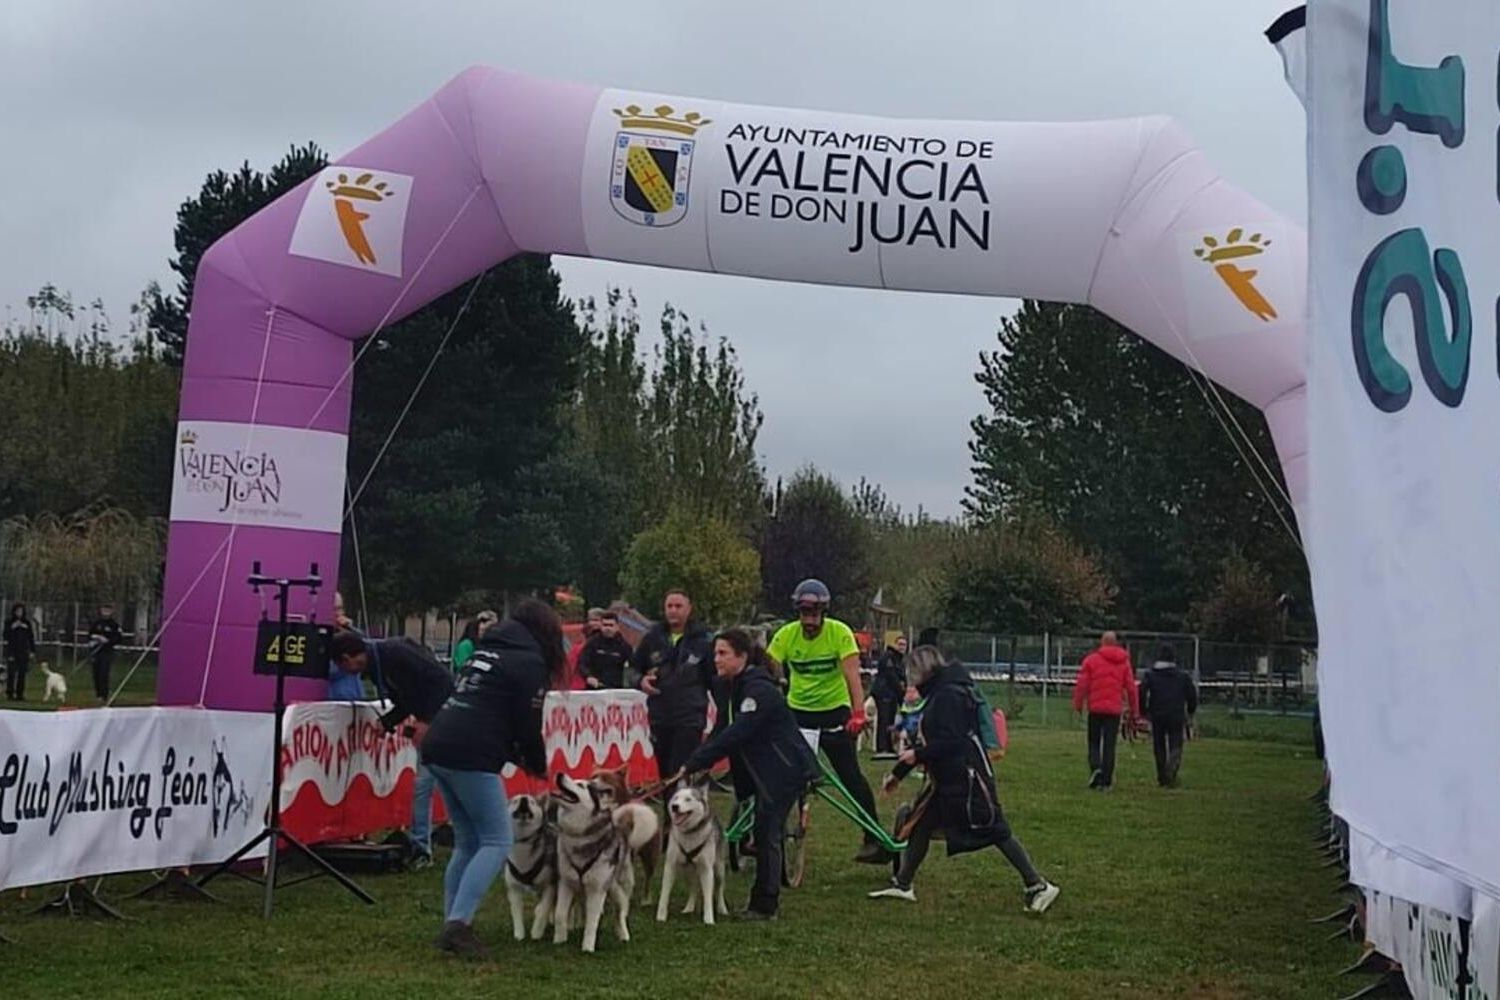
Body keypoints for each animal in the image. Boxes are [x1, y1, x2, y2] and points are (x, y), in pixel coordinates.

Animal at [504, 791, 558, 941]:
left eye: (532, 802)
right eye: (515, 800)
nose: (524, 799)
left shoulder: (549, 885)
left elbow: (544, 909)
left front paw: (537, 931)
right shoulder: (513, 888)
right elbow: (516, 911)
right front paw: (519, 933)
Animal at [552, 773, 657, 953]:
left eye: (580, 785)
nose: (559, 774)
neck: (579, 837)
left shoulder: (597, 889)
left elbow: (592, 922)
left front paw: (587, 948)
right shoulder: (567, 883)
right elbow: (560, 915)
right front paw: (559, 941)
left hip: (617, 887)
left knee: (620, 912)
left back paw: (623, 935)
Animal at [657, 779, 726, 929]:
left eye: (688, 799)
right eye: (676, 798)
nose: (675, 807)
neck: (689, 833)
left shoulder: (707, 870)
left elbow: (708, 896)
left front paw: (709, 919)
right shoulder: (670, 866)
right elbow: (664, 893)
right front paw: (661, 916)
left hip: (719, 870)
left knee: (719, 889)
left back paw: (722, 908)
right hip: (687, 870)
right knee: (693, 887)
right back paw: (689, 908)